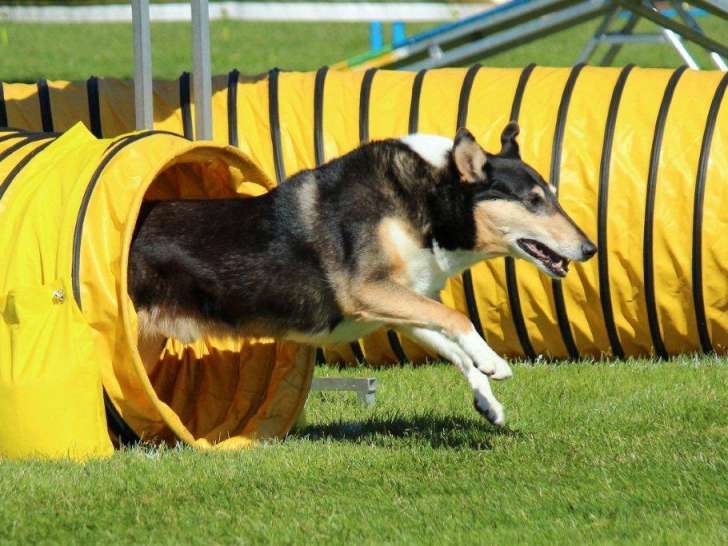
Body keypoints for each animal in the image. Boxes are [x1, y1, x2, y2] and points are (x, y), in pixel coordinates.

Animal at [129, 123, 596, 424]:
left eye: (552, 195)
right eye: (533, 200)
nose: (590, 249)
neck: (426, 201)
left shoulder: (398, 305)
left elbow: (452, 343)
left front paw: (488, 404)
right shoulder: (367, 289)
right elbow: (458, 319)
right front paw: (494, 361)